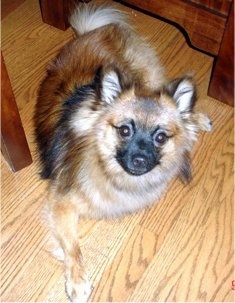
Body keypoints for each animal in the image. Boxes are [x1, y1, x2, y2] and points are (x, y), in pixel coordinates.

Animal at [34, 1, 212, 302]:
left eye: (160, 137)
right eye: (125, 130)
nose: (139, 159)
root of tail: (92, 32)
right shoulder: (61, 203)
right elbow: (73, 247)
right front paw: (78, 282)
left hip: (149, 77)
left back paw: (196, 119)